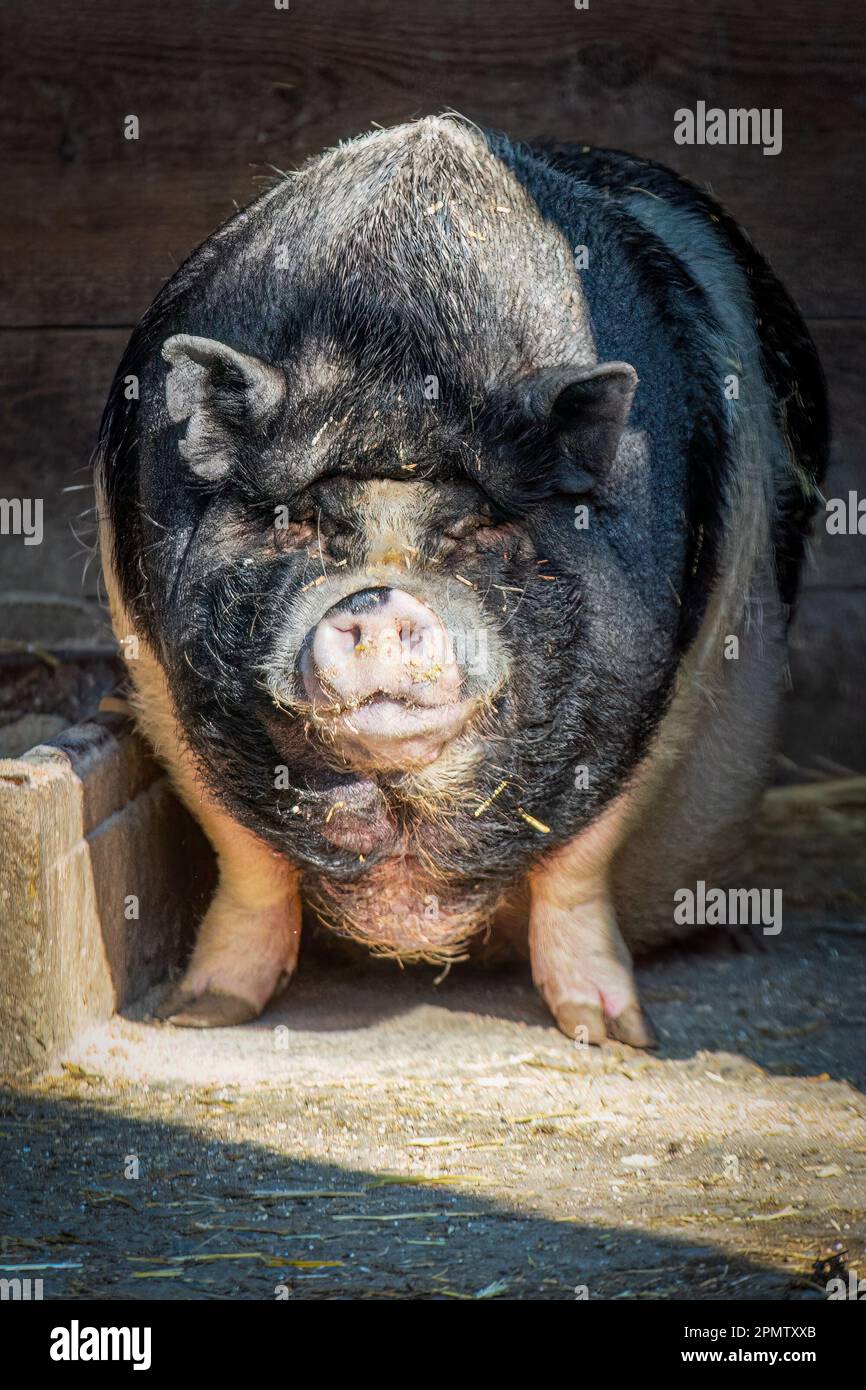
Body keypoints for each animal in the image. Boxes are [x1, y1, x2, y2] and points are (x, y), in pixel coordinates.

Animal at [95, 116, 827, 1044]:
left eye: (479, 527)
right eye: (300, 522)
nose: (377, 601)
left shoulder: (667, 676)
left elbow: (577, 862)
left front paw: (613, 1035)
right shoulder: (153, 660)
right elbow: (245, 853)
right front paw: (197, 1017)